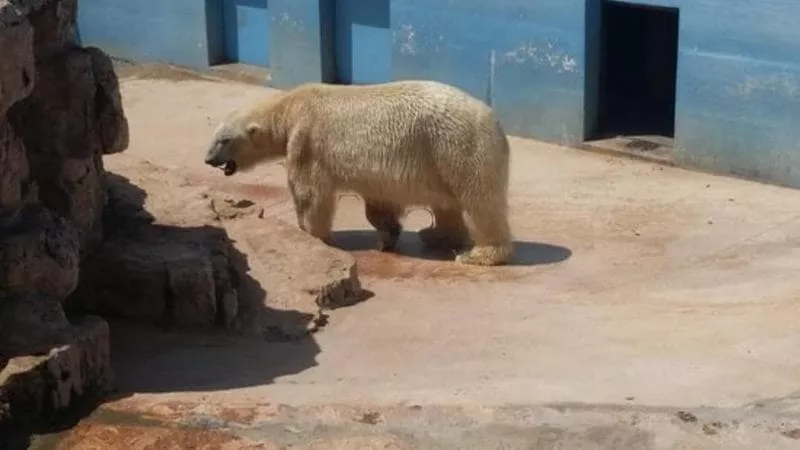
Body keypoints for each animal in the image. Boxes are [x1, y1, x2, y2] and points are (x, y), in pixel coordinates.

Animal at [205, 79, 512, 266]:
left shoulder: (306, 139)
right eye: (216, 136)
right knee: (447, 203)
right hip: (442, 156)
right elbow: (379, 204)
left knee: (480, 202)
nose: (208, 159)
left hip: (458, 146)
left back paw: (478, 254)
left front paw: (312, 234)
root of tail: (496, 123)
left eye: (224, 140)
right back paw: (434, 235)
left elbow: (310, 192)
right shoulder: (376, 176)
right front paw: (388, 235)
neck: (291, 107)